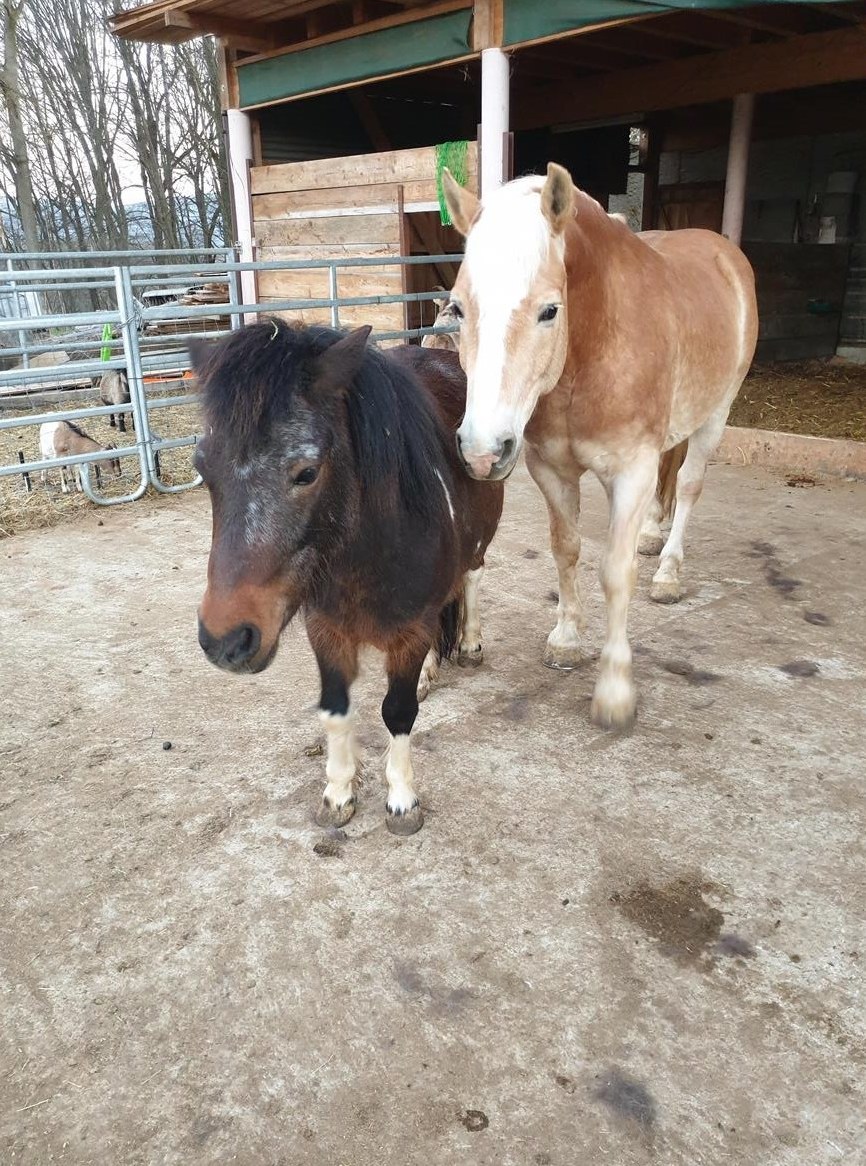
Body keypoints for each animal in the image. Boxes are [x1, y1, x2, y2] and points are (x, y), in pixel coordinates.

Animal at [192, 321, 503, 835]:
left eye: (307, 472)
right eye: (203, 469)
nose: (226, 640)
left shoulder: (410, 631)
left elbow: (397, 712)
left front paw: (402, 801)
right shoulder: (326, 630)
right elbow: (336, 711)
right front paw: (338, 794)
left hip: (479, 540)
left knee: (473, 578)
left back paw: (471, 643)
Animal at [442, 162, 758, 730]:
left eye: (549, 310)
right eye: (457, 307)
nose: (482, 451)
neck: (595, 347)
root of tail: (721, 250)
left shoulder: (631, 472)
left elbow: (615, 571)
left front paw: (614, 691)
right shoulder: (551, 469)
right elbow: (566, 550)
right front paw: (567, 640)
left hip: (715, 416)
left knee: (690, 485)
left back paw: (668, 573)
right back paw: (653, 535)